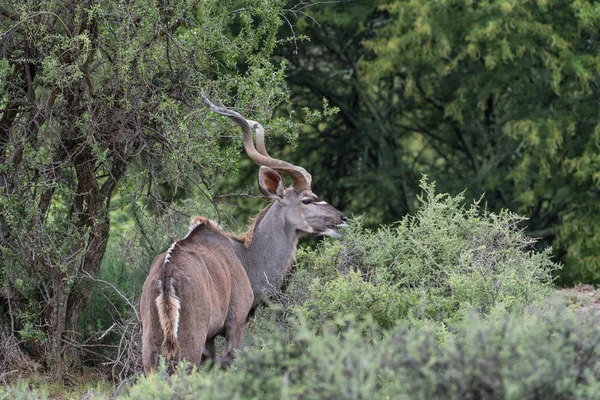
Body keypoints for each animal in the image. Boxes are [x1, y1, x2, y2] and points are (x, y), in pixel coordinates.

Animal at [141, 94, 346, 372]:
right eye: (307, 200)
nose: (342, 218)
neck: (244, 255)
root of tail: (165, 278)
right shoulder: (235, 325)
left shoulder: (209, 341)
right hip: (188, 342)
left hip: (150, 346)